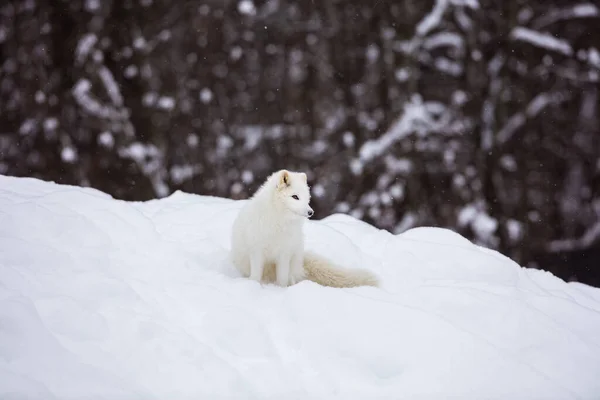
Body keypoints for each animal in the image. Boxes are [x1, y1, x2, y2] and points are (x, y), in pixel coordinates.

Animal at [231, 169, 380, 288]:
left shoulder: (284, 254)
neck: (279, 223)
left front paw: (281, 290)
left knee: (290, 277)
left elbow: (282, 278)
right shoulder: (257, 251)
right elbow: (256, 275)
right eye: (295, 197)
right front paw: (254, 286)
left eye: (307, 198)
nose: (310, 212)